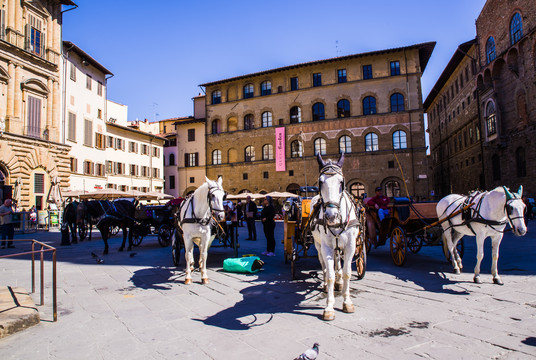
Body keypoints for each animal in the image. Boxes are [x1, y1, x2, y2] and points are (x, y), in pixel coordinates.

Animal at [308, 153, 362, 320]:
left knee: (338, 262)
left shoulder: (351, 246)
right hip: (319, 245)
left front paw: (347, 302)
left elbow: (346, 273)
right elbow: (330, 274)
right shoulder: (326, 246)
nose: (331, 216)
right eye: (320, 182)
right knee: (324, 266)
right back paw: (327, 285)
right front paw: (329, 307)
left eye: (341, 182)